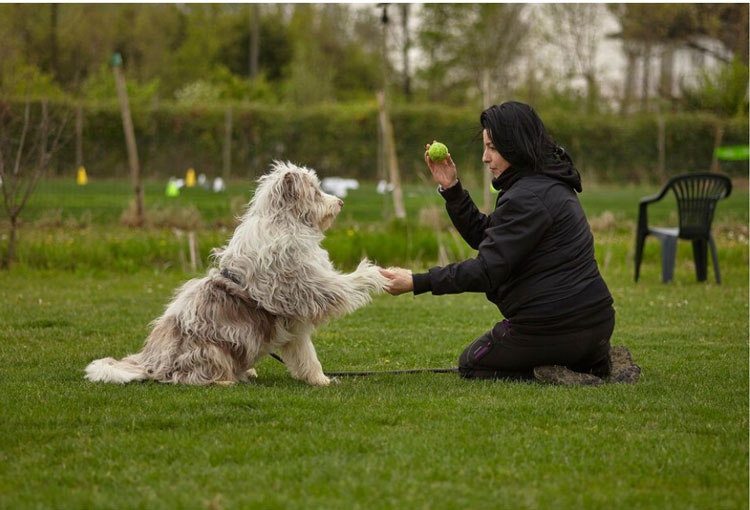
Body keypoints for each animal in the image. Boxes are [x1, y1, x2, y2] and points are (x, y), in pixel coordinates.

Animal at [84, 163, 388, 386]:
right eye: (314, 192)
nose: (340, 202)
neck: (285, 223)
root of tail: (151, 362)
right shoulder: (309, 286)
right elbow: (343, 286)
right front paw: (373, 274)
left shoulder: (294, 323)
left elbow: (306, 356)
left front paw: (320, 380)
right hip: (210, 349)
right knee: (191, 376)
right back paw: (227, 380)